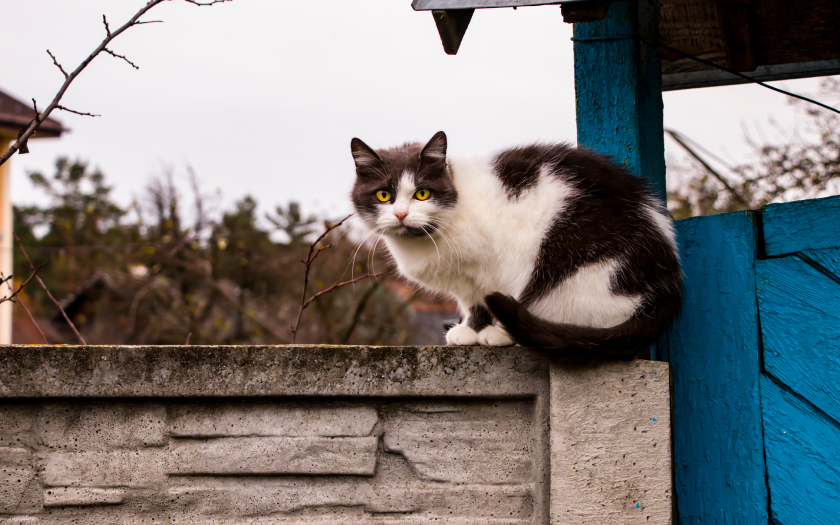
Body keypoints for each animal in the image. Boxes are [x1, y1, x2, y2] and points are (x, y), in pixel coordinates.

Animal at [348, 131, 684, 360]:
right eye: (384, 195)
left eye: (422, 194)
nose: (401, 214)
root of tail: (668, 287)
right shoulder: (464, 280)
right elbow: (469, 300)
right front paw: (469, 328)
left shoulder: (488, 270)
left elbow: (483, 299)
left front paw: (480, 331)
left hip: (570, 267)